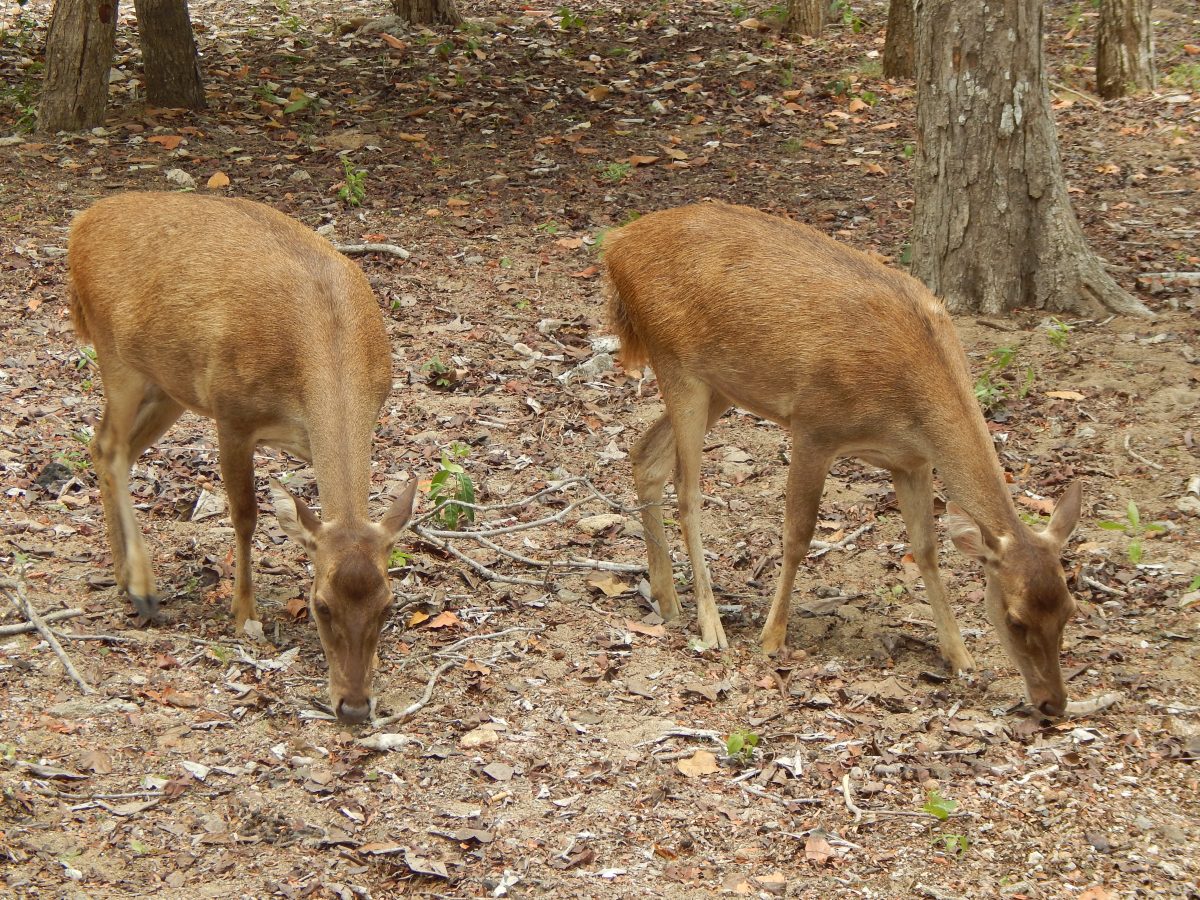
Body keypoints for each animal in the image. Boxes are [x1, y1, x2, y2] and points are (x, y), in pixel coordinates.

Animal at [71, 192, 417, 724]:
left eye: (389, 605)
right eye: (321, 605)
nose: (355, 706)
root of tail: (81, 225)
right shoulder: (232, 414)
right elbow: (245, 515)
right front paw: (244, 614)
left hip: (167, 383)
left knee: (107, 445)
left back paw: (122, 574)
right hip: (116, 356)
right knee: (109, 446)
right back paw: (143, 589)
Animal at [604, 200, 1084, 715]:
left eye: (1069, 611)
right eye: (1015, 618)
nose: (1053, 704)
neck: (913, 401)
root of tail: (616, 246)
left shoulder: (911, 462)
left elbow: (927, 549)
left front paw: (960, 655)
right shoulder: (815, 425)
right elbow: (797, 535)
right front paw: (772, 638)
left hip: (720, 384)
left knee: (645, 454)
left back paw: (667, 599)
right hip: (677, 363)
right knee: (688, 491)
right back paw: (710, 624)